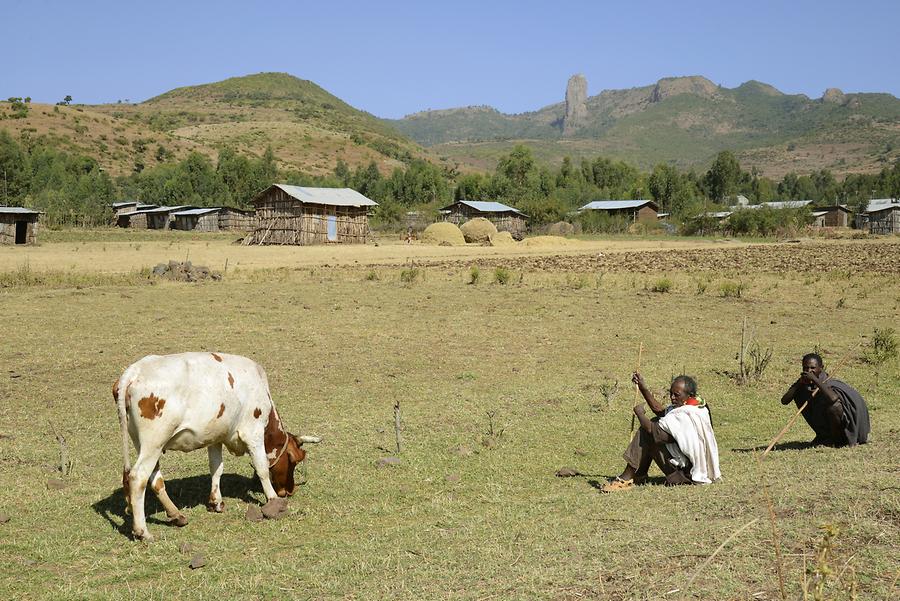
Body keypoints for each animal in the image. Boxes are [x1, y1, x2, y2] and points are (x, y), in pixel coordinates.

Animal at [114, 352, 320, 540]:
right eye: (294, 460)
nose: (290, 491)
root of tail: (134, 371)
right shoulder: (253, 432)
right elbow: (261, 467)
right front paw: (273, 499)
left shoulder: (215, 438)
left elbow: (216, 468)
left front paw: (216, 502)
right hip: (154, 442)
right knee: (138, 477)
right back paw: (143, 531)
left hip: (144, 444)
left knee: (155, 479)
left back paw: (176, 515)